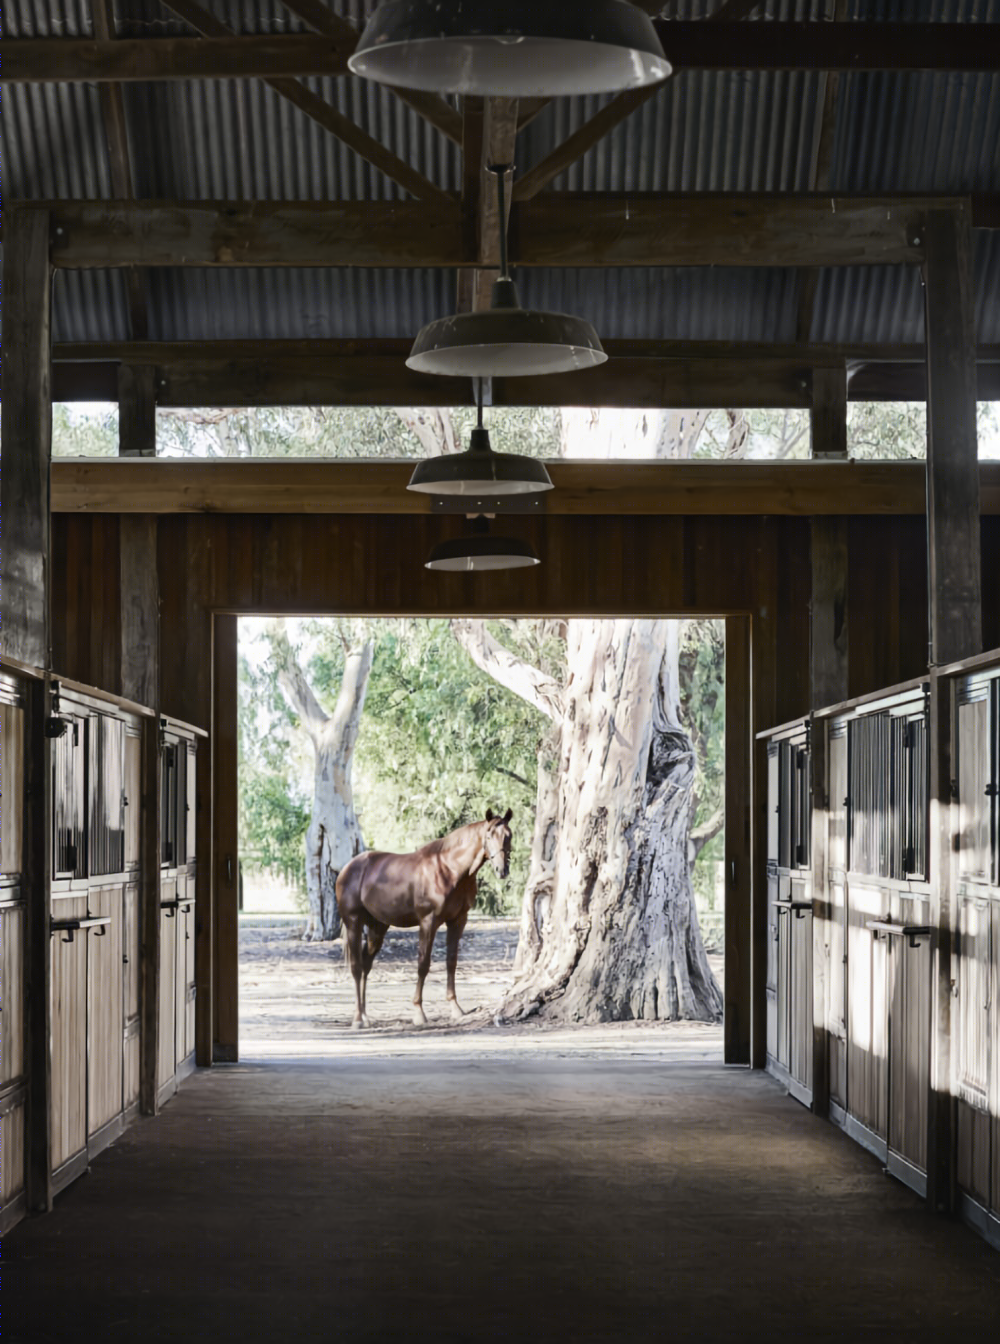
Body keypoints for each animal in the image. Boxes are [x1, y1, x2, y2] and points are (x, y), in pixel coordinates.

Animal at [333, 806, 510, 1026]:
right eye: (489, 835)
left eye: (509, 836)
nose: (502, 870)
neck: (449, 869)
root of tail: (347, 869)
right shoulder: (428, 921)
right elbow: (423, 964)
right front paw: (418, 1012)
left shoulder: (458, 921)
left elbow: (451, 961)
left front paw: (455, 1008)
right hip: (353, 923)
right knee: (357, 967)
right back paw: (357, 1018)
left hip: (377, 928)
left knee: (366, 965)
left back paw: (365, 1014)